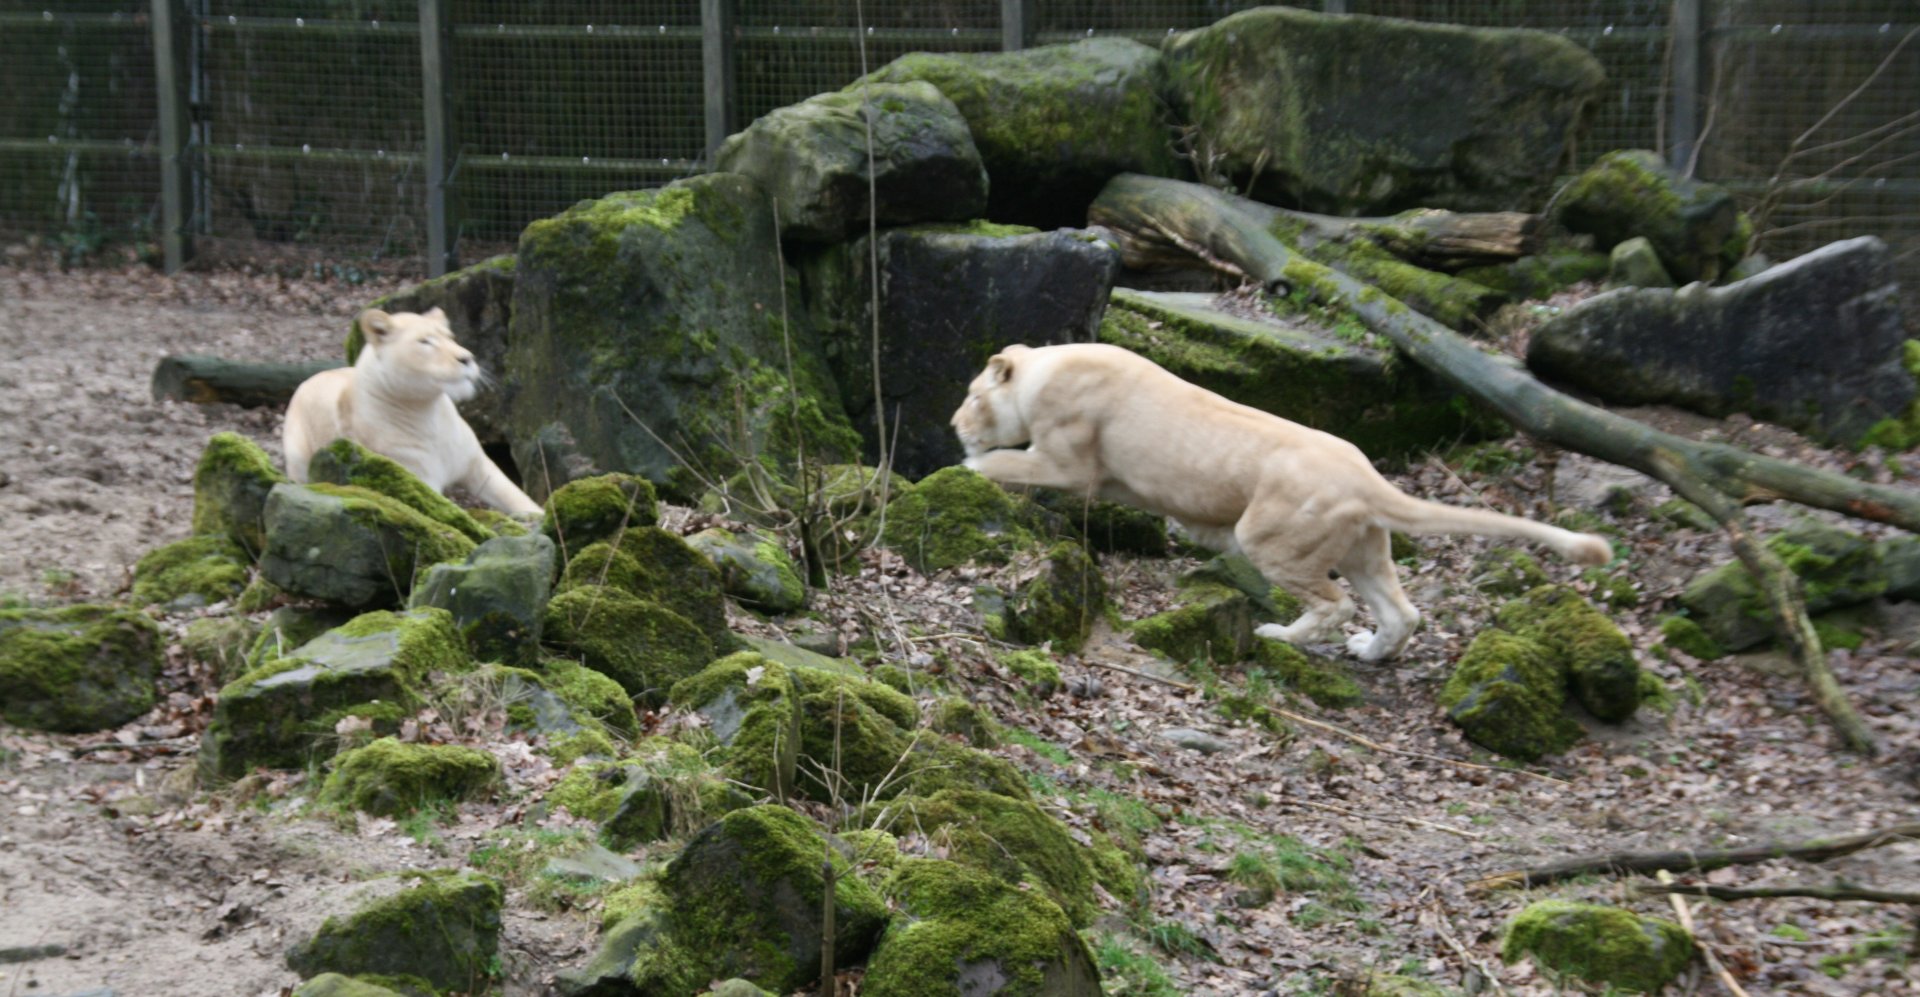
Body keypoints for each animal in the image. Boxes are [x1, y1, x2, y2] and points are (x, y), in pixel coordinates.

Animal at [283, 307, 542, 516]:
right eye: (425, 342)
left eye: (450, 338)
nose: (467, 358)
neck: (430, 414)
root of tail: (308, 379)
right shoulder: (415, 479)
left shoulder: (478, 466)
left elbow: (515, 495)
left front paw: (540, 514)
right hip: (298, 457)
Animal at [951, 343, 1611, 662]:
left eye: (972, 394)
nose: (955, 422)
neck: (1044, 370)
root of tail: (1367, 473)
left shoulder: (1069, 462)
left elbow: (1001, 465)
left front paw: (959, 466)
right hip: (1363, 547)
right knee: (1402, 611)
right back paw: (1369, 653)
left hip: (1270, 537)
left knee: (1334, 603)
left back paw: (1278, 636)